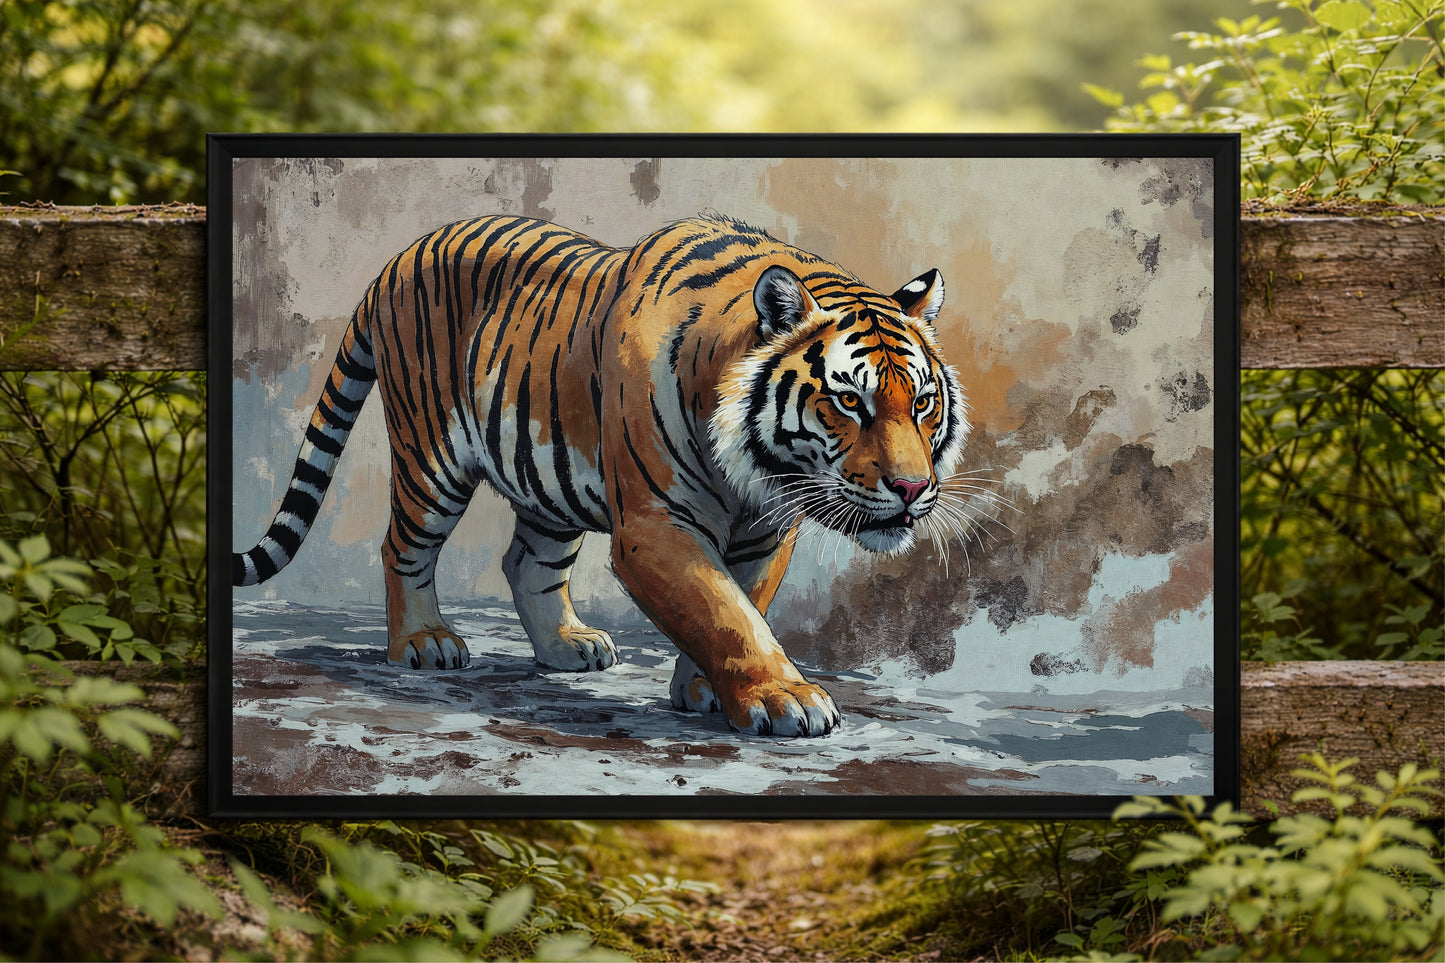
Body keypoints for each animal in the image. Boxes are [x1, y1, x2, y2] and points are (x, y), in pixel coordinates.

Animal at [234, 212, 969, 737]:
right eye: (850, 401)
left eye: (922, 403)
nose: (911, 489)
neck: (753, 471)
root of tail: (401, 253)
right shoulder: (655, 526)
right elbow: (722, 609)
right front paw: (784, 698)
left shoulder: (767, 531)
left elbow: (745, 600)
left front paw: (705, 689)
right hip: (431, 456)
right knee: (402, 546)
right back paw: (424, 642)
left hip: (545, 480)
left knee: (528, 561)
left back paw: (566, 647)